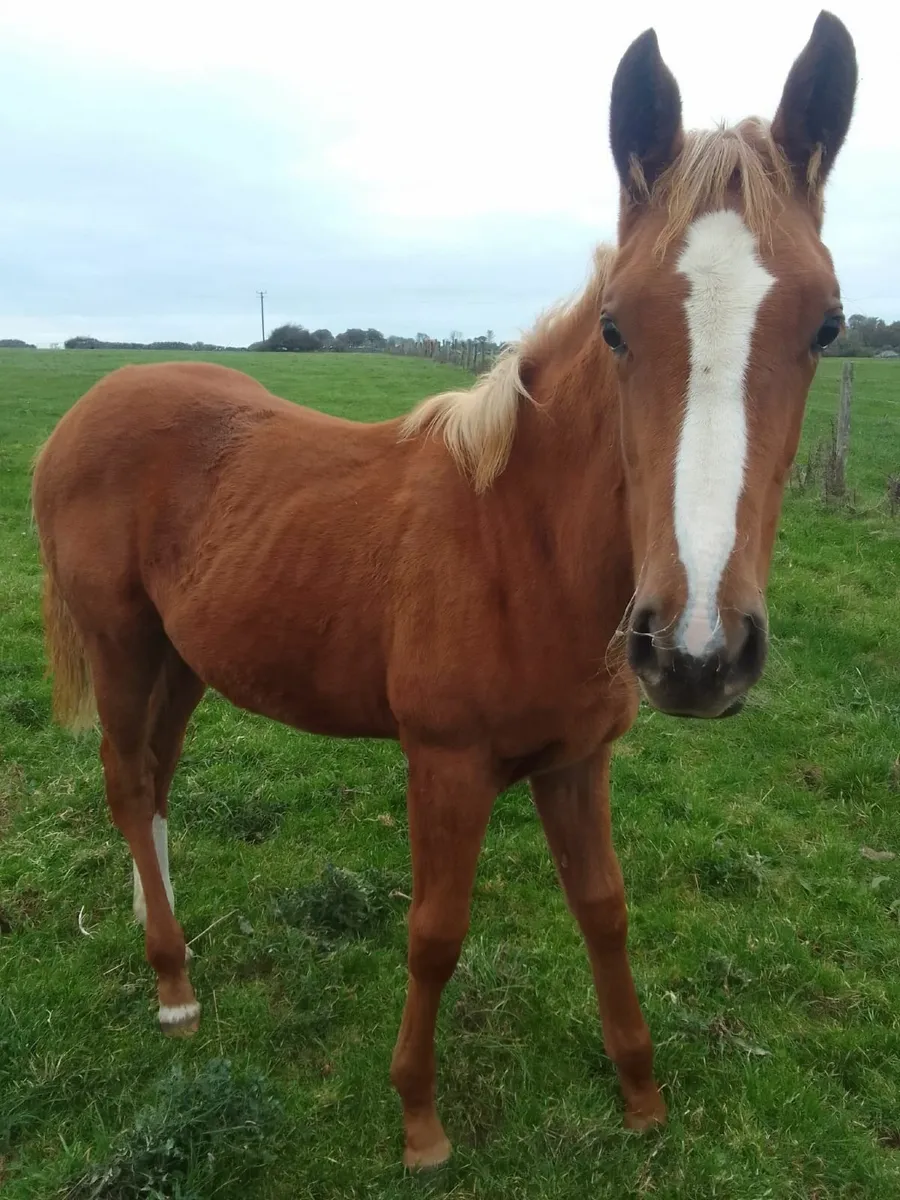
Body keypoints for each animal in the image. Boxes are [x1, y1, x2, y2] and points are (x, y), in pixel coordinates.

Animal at [31, 12, 856, 1169]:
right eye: (616, 324)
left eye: (826, 325)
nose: (696, 651)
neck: (521, 546)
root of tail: (90, 406)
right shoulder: (446, 765)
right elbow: (435, 932)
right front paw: (420, 1117)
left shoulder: (578, 762)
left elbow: (604, 910)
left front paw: (641, 1096)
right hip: (119, 643)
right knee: (123, 779)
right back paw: (173, 986)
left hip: (183, 658)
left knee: (152, 783)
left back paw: (167, 936)